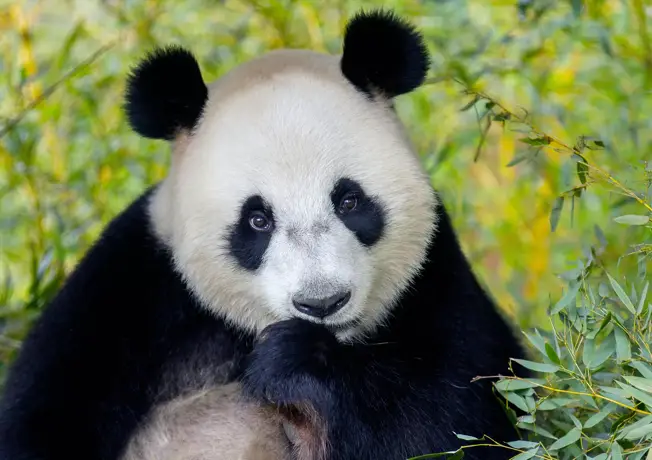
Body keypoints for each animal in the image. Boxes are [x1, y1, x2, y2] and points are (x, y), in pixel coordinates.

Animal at [0, 9, 526, 460]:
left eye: (349, 201)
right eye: (257, 220)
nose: (322, 303)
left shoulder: (436, 280)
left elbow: (451, 422)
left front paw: (295, 361)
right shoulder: (132, 289)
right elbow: (43, 416)